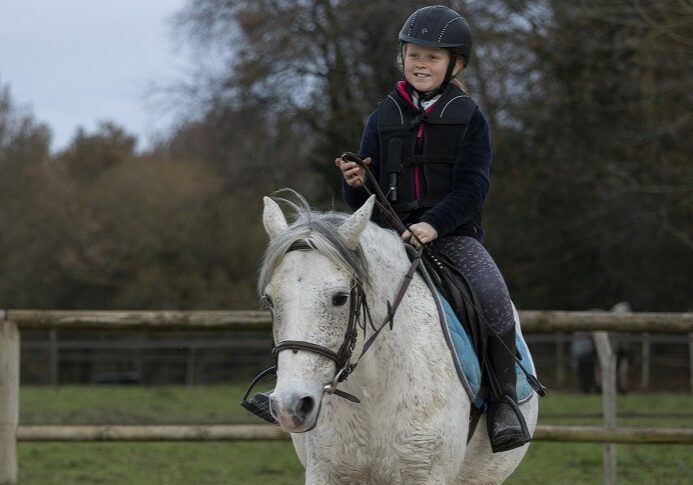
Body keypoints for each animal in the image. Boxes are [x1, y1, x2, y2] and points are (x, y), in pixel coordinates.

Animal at [258, 194, 536, 484]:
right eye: (270, 300)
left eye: (340, 297)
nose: (291, 406)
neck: (372, 391)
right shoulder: (325, 474)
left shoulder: (426, 476)